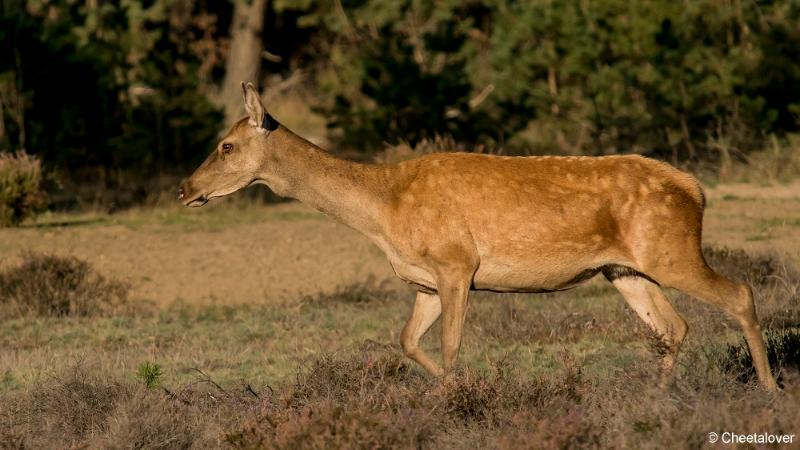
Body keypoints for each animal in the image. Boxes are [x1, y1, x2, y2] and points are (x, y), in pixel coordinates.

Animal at [180, 82, 776, 392]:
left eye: (227, 146)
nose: (186, 188)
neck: (384, 210)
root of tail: (696, 189)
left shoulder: (456, 263)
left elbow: (449, 344)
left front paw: (458, 399)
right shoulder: (424, 280)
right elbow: (407, 341)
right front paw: (450, 393)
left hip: (671, 248)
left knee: (739, 294)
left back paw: (768, 390)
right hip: (624, 268)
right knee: (671, 326)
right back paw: (658, 396)